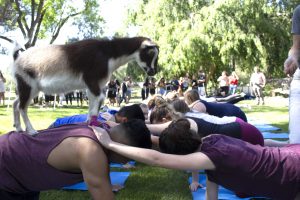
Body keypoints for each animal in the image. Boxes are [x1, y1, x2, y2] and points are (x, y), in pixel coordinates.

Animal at [12, 37, 159, 134]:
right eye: (151, 54)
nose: (153, 72)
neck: (107, 53)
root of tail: (16, 59)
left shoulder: (93, 85)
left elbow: (93, 101)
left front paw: (89, 122)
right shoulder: (91, 79)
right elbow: (100, 98)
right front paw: (93, 122)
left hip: (27, 87)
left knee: (15, 103)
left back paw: (18, 128)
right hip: (28, 84)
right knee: (22, 107)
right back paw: (31, 131)